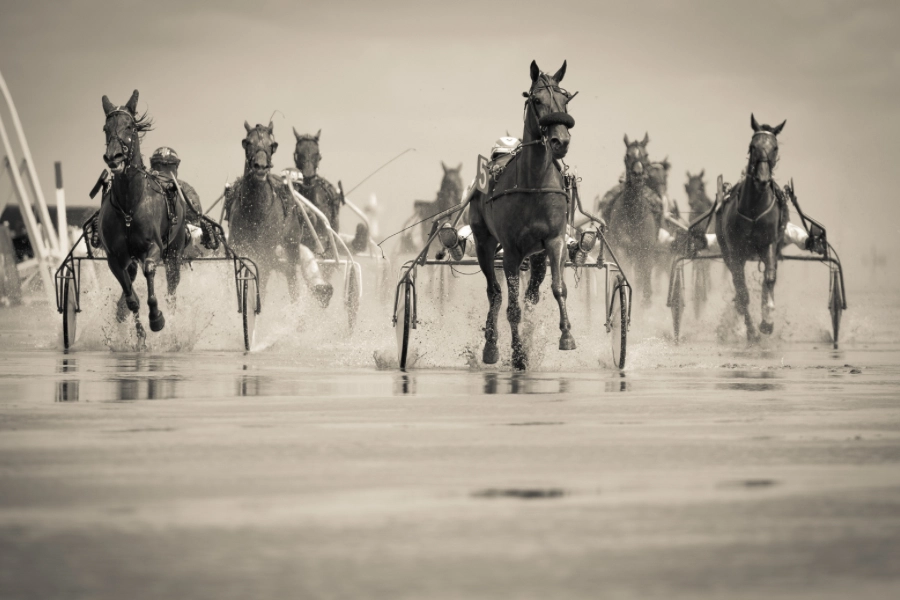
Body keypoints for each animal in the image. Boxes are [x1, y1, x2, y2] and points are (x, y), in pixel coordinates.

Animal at [98, 90, 186, 338]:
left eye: (130, 127)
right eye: (106, 128)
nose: (114, 157)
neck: (129, 205)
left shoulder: (154, 247)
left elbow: (150, 271)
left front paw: (156, 318)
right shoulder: (115, 258)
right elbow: (131, 299)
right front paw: (139, 336)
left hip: (175, 253)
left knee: (172, 289)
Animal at [225, 120, 334, 308]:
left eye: (272, 145)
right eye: (248, 142)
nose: (260, 167)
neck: (255, 212)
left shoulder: (265, 254)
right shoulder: (239, 247)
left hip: (291, 248)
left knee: (292, 280)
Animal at [468, 61, 572, 370]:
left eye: (564, 99)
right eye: (537, 100)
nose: (560, 141)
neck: (534, 182)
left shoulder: (554, 240)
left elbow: (558, 288)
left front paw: (566, 336)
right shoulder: (511, 251)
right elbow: (511, 307)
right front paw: (517, 354)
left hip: (536, 256)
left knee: (531, 294)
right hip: (484, 242)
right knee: (495, 293)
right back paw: (491, 346)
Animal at [604, 135, 660, 304]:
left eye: (646, 155)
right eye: (627, 156)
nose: (638, 174)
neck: (634, 215)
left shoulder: (646, 251)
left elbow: (646, 286)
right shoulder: (621, 249)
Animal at [716, 114, 788, 340]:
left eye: (775, 147)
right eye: (752, 146)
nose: (762, 179)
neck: (755, 210)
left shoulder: (769, 244)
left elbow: (770, 279)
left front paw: (767, 322)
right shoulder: (736, 251)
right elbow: (743, 291)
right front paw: (751, 331)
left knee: (768, 279)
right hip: (726, 252)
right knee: (738, 285)